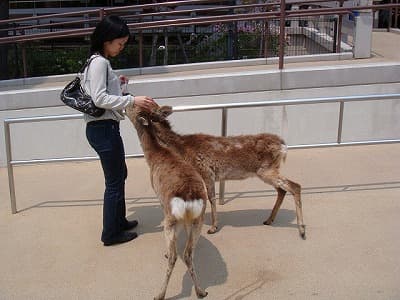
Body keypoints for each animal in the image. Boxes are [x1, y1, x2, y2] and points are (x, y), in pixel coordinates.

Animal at [126, 103, 209, 300]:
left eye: (133, 106)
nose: (123, 107)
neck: (154, 157)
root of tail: (189, 198)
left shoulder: (159, 197)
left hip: (170, 219)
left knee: (175, 256)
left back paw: (159, 294)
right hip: (199, 219)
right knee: (188, 254)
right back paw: (201, 291)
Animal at [145, 104, 306, 240]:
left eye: (151, 112)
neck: (183, 148)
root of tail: (283, 147)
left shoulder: (206, 171)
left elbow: (211, 198)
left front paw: (213, 228)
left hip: (266, 170)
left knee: (295, 186)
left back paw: (302, 230)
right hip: (269, 170)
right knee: (282, 190)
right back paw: (269, 220)